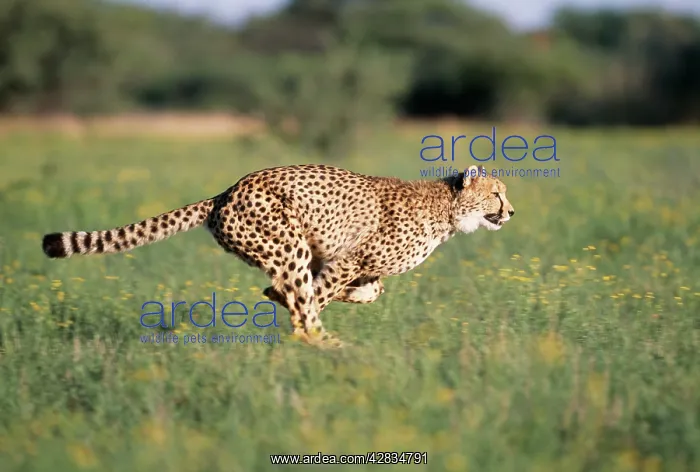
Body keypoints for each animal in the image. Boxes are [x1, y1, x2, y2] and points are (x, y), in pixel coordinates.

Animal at [42, 164, 515, 348]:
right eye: (496, 194)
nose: (511, 212)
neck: (448, 209)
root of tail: (226, 192)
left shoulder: (346, 261)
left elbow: (370, 290)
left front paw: (353, 297)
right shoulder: (346, 259)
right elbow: (315, 296)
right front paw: (305, 319)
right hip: (288, 242)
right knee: (297, 297)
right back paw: (327, 343)